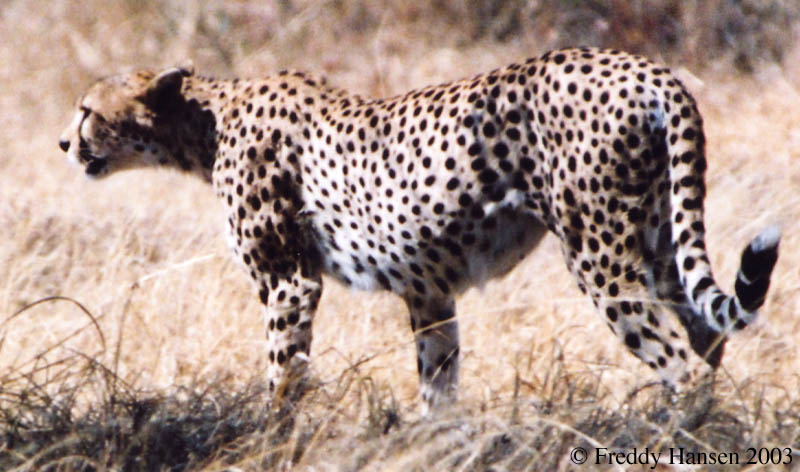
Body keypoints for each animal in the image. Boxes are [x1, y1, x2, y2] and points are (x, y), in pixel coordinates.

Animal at [59, 47, 780, 411]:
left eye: (87, 109)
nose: (65, 143)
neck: (206, 121)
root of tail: (646, 67)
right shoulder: (428, 289)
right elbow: (439, 384)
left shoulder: (289, 283)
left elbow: (283, 377)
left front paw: (271, 439)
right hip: (657, 241)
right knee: (706, 339)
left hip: (601, 257)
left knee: (682, 363)